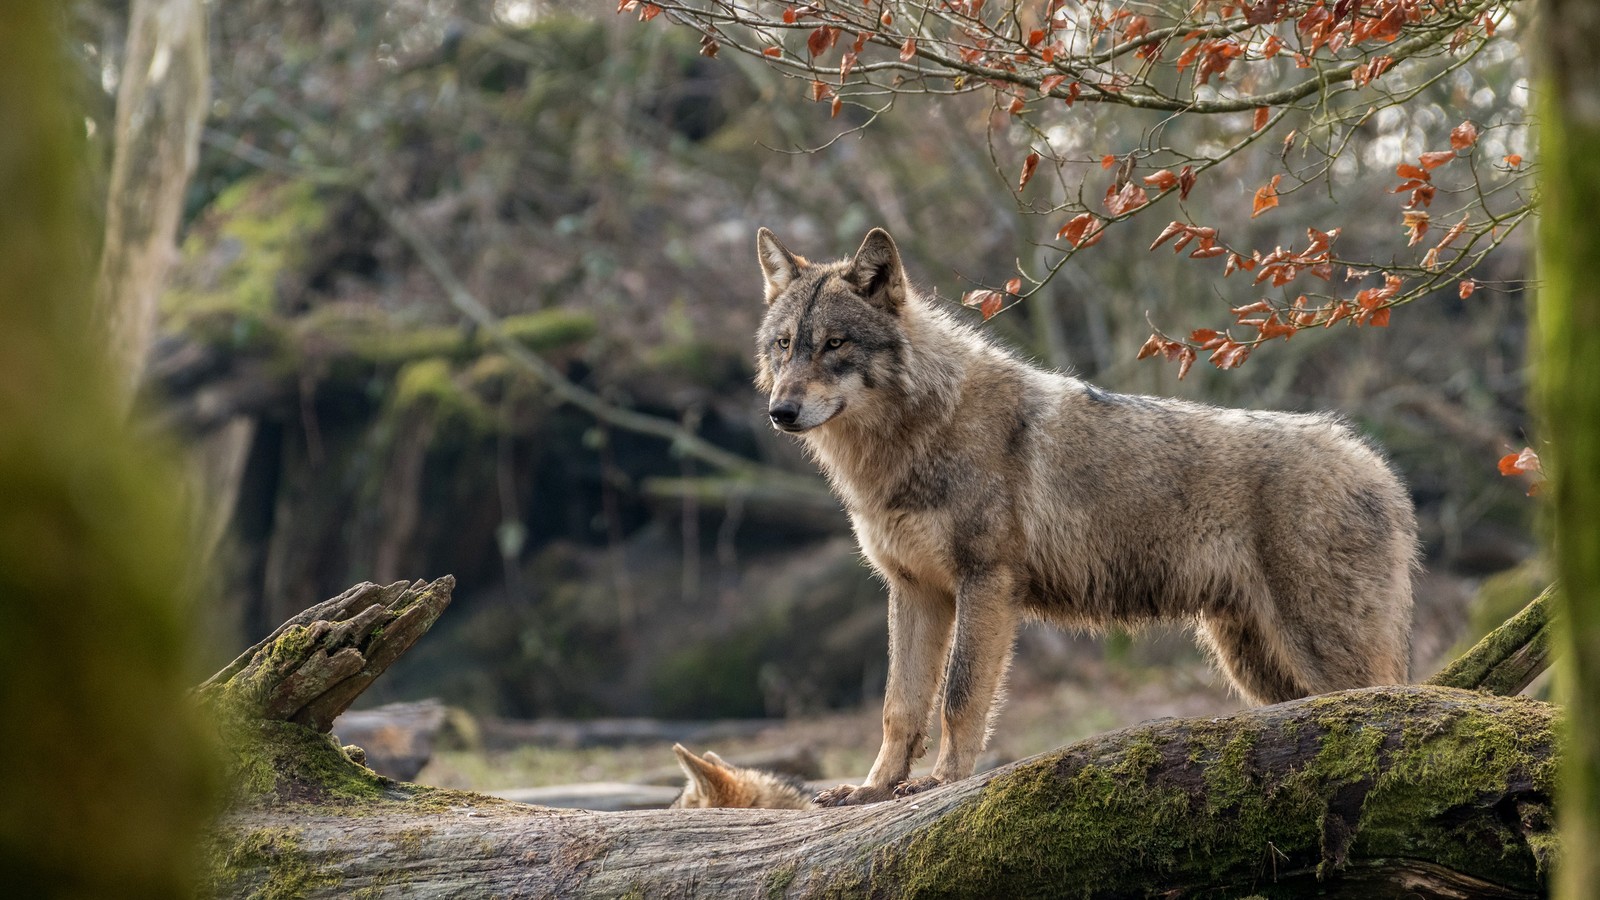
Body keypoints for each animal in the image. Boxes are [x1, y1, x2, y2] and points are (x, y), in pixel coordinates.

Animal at [748, 225, 1414, 807]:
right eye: (784, 345)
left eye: (835, 344)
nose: (781, 411)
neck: (912, 436)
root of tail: (1379, 467)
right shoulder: (914, 589)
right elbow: (899, 706)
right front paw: (872, 790)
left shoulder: (986, 582)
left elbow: (960, 696)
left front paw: (942, 782)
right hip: (1256, 666)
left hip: (1317, 653)